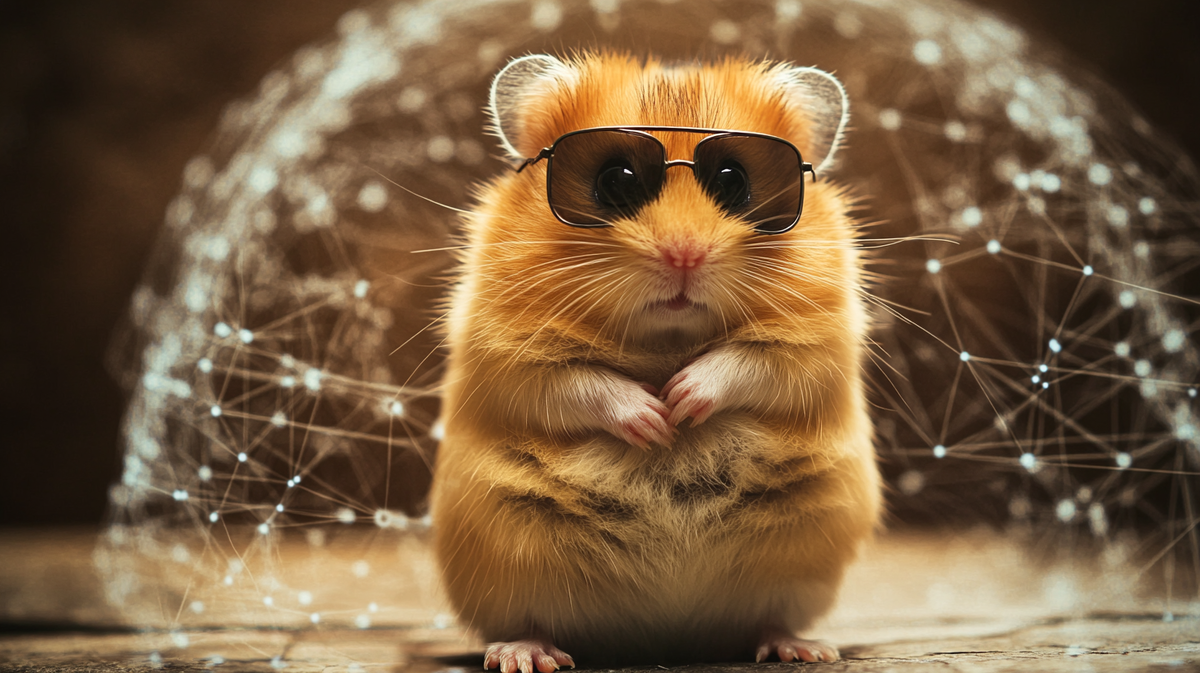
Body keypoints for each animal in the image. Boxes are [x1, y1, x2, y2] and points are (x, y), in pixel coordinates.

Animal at [431, 51, 880, 671]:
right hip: (507, 549)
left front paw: (681, 403)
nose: (684, 255)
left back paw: (804, 649)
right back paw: (525, 655)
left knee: (771, 618)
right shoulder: (507, 351)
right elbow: (578, 383)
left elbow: (748, 363)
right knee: (528, 620)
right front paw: (655, 423)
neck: (666, 339)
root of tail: (663, 635)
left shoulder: (820, 340)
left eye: (733, 180)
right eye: (616, 180)